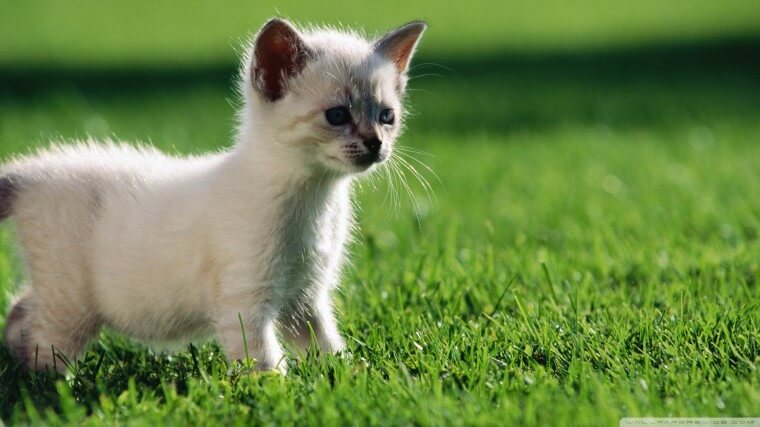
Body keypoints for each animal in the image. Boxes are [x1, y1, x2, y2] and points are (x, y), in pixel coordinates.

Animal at [1, 18, 428, 372]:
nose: (375, 144)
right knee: (42, 347)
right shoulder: (246, 301)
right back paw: (47, 386)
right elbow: (264, 362)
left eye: (387, 116)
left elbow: (326, 346)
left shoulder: (305, 297)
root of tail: (32, 171)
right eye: (337, 115)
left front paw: (348, 378)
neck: (316, 199)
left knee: (19, 309)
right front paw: (278, 394)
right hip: (71, 305)